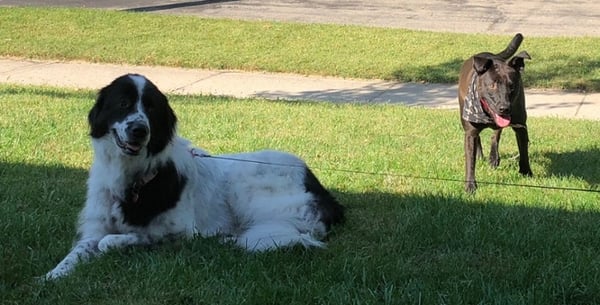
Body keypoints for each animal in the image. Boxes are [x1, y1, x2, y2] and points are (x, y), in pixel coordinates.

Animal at [44, 73, 344, 278]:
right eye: (123, 103)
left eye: (151, 108)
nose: (139, 130)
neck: (132, 175)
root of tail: (319, 186)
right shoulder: (94, 228)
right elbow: (76, 253)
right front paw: (51, 277)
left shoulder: (181, 231)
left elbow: (116, 240)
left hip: (246, 188)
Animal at [460, 33, 536, 192]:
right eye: (492, 85)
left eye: (512, 86)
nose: (504, 108)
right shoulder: (470, 132)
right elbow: (470, 160)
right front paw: (470, 186)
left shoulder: (521, 126)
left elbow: (524, 152)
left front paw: (526, 173)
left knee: (496, 135)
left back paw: (493, 157)